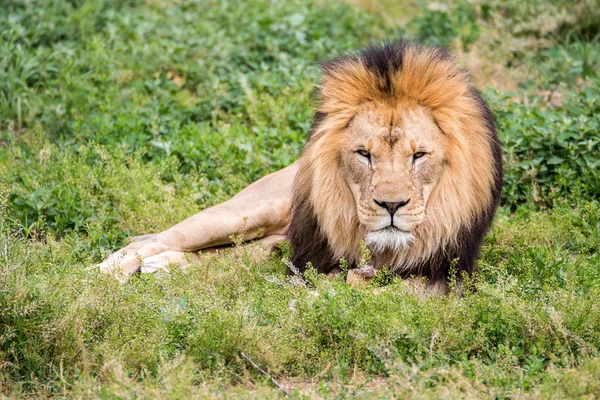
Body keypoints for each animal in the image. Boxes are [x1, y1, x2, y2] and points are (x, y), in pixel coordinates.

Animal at [98, 40, 502, 294]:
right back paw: (98, 278)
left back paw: (164, 267)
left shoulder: (445, 277)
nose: (391, 206)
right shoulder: (316, 261)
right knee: (155, 240)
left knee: (234, 258)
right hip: (246, 212)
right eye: (363, 154)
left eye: (418, 156)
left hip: (271, 240)